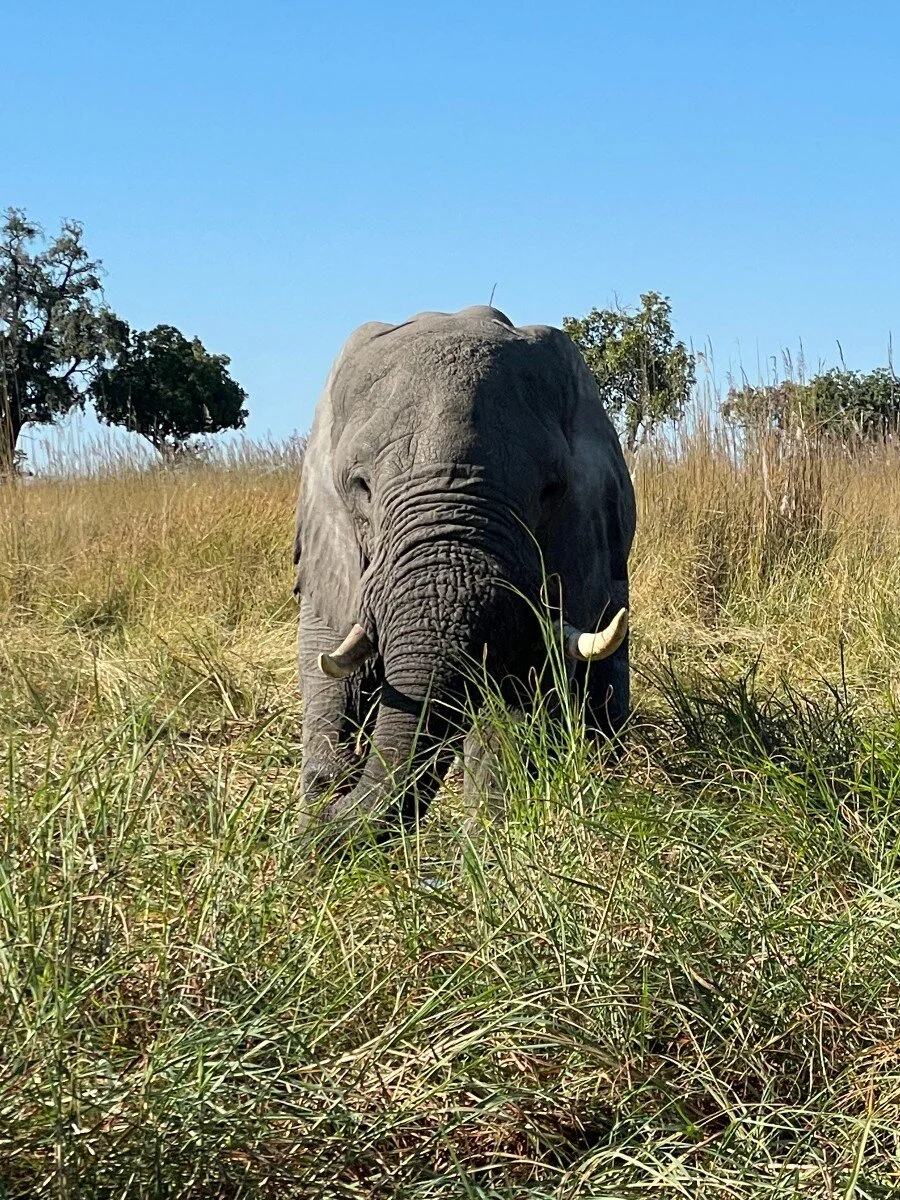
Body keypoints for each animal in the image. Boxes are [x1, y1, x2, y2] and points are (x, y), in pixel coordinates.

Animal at [293, 305, 636, 843]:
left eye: (551, 490)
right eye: (361, 487)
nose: (332, 806)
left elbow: (511, 708)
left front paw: (490, 848)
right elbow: (328, 671)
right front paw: (316, 820)